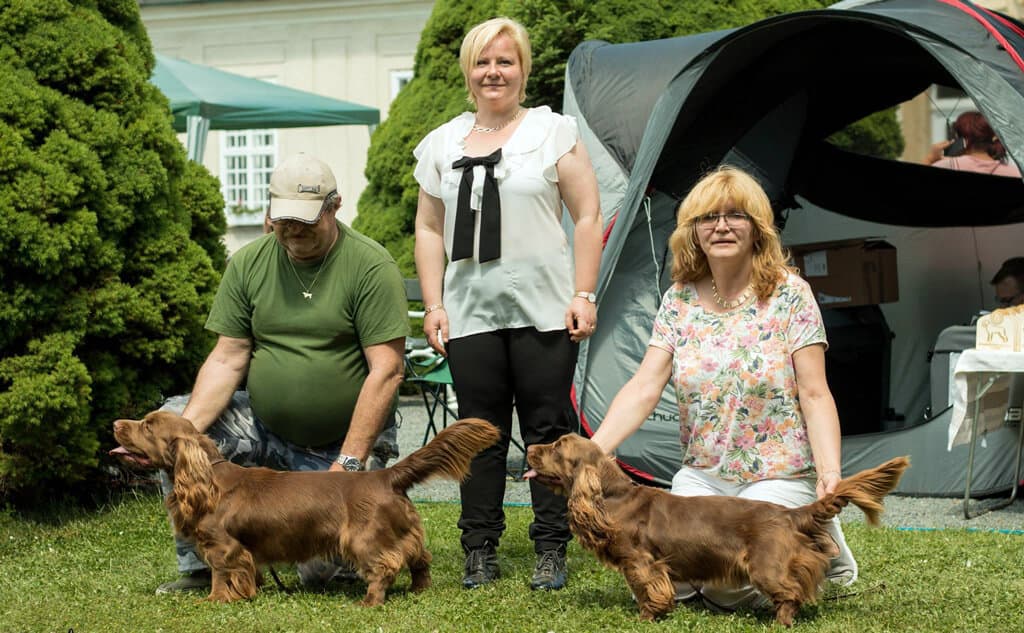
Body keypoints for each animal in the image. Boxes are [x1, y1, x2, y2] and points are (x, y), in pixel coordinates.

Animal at [112, 411, 499, 602]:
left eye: (147, 425)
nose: (115, 423)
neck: (209, 480)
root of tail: (385, 476)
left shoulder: (224, 548)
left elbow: (222, 576)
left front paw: (215, 600)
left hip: (363, 539)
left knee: (385, 566)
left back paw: (369, 602)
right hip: (404, 530)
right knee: (420, 557)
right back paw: (419, 590)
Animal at [524, 432, 909, 622]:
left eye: (556, 447)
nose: (528, 447)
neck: (612, 497)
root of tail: (791, 515)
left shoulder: (642, 562)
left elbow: (650, 592)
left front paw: (646, 618)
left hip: (766, 567)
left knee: (791, 595)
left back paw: (779, 623)